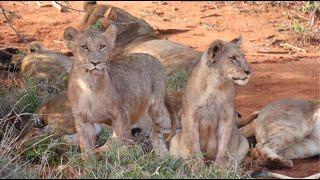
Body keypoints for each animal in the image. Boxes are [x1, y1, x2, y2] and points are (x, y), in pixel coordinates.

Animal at [63, 24, 172, 158]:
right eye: (84, 47)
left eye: (102, 46)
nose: (95, 62)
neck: (89, 84)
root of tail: (155, 59)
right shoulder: (82, 119)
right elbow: (86, 146)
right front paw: (89, 161)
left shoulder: (121, 114)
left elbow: (121, 141)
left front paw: (122, 156)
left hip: (156, 106)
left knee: (156, 132)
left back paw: (162, 153)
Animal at [169, 36, 251, 169]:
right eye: (233, 58)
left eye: (244, 56)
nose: (249, 71)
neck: (215, 84)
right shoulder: (191, 116)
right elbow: (194, 145)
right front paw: (197, 167)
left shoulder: (227, 117)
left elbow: (223, 146)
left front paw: (219, 169)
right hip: (175, 138)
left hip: (244, 142)